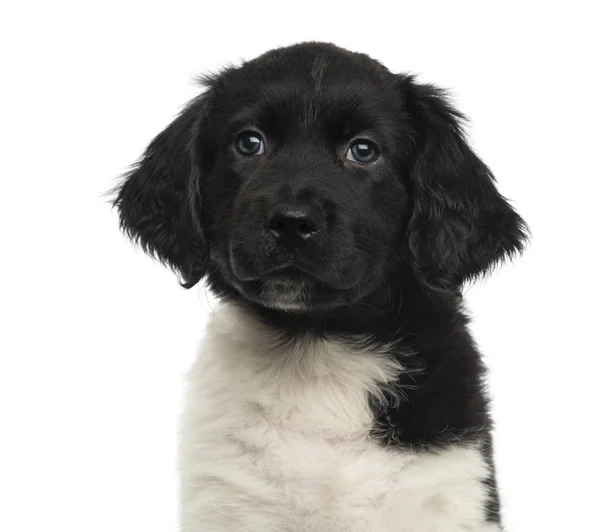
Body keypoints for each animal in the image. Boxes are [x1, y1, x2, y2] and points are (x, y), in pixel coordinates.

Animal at [112, 41, 524, 532]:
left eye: (363, 150)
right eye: (249, 143)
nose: (292, 222)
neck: (319, 348)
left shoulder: (448, 487)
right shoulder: (227, 495)